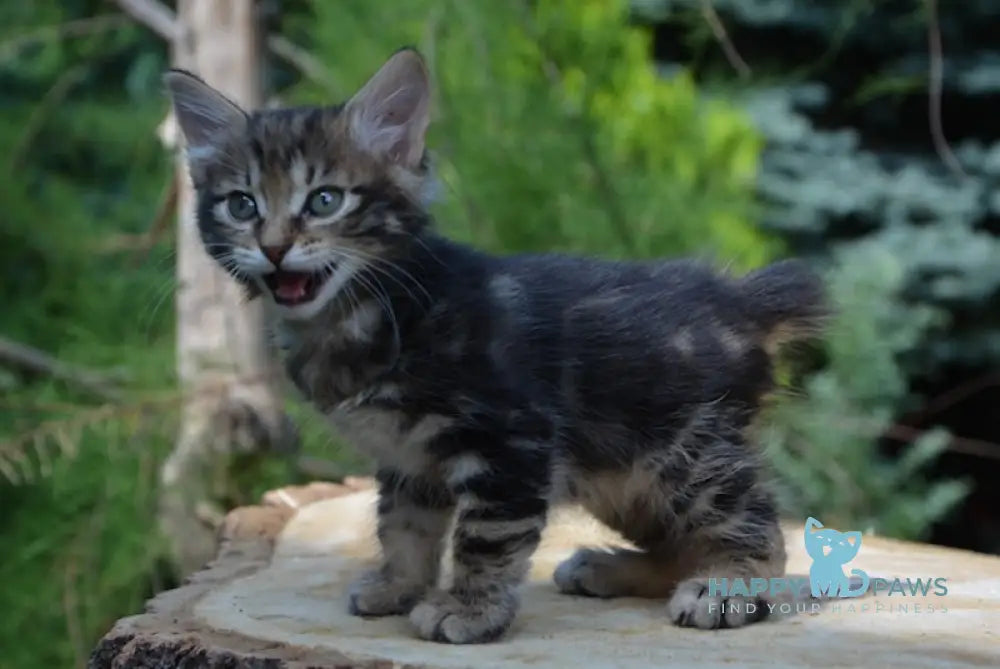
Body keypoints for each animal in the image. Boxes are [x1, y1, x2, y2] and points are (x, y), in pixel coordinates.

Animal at [166, 47, 828, 640]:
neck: (370, 312)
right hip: (623, 475)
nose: (274, 247)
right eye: (241, 205)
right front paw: (399, 586)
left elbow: (483, 538)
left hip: (685, 453)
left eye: (324, 200)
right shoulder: (408, 458)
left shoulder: (511, 439)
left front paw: (469, 610)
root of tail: (735, 296)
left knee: (758, 528)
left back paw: (727, 589)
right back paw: (612, 569)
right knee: (686, 541)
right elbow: (403, 528)